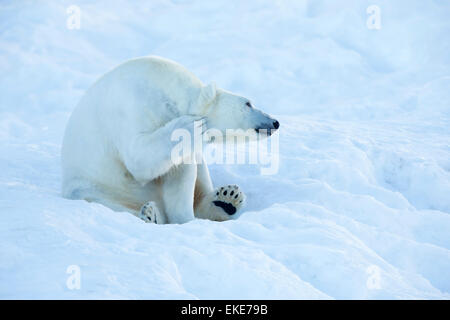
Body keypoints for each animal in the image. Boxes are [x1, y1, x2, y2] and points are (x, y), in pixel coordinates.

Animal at [59, 56, 278, 224]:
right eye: (248, 103)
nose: (275, 122)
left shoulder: (182, 151)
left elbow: (180, 174)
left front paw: (185, 219)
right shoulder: (132, 107)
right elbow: (138, 156)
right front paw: (189, 125)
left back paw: (227, 199)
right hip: (96, 187)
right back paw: (150, 214)